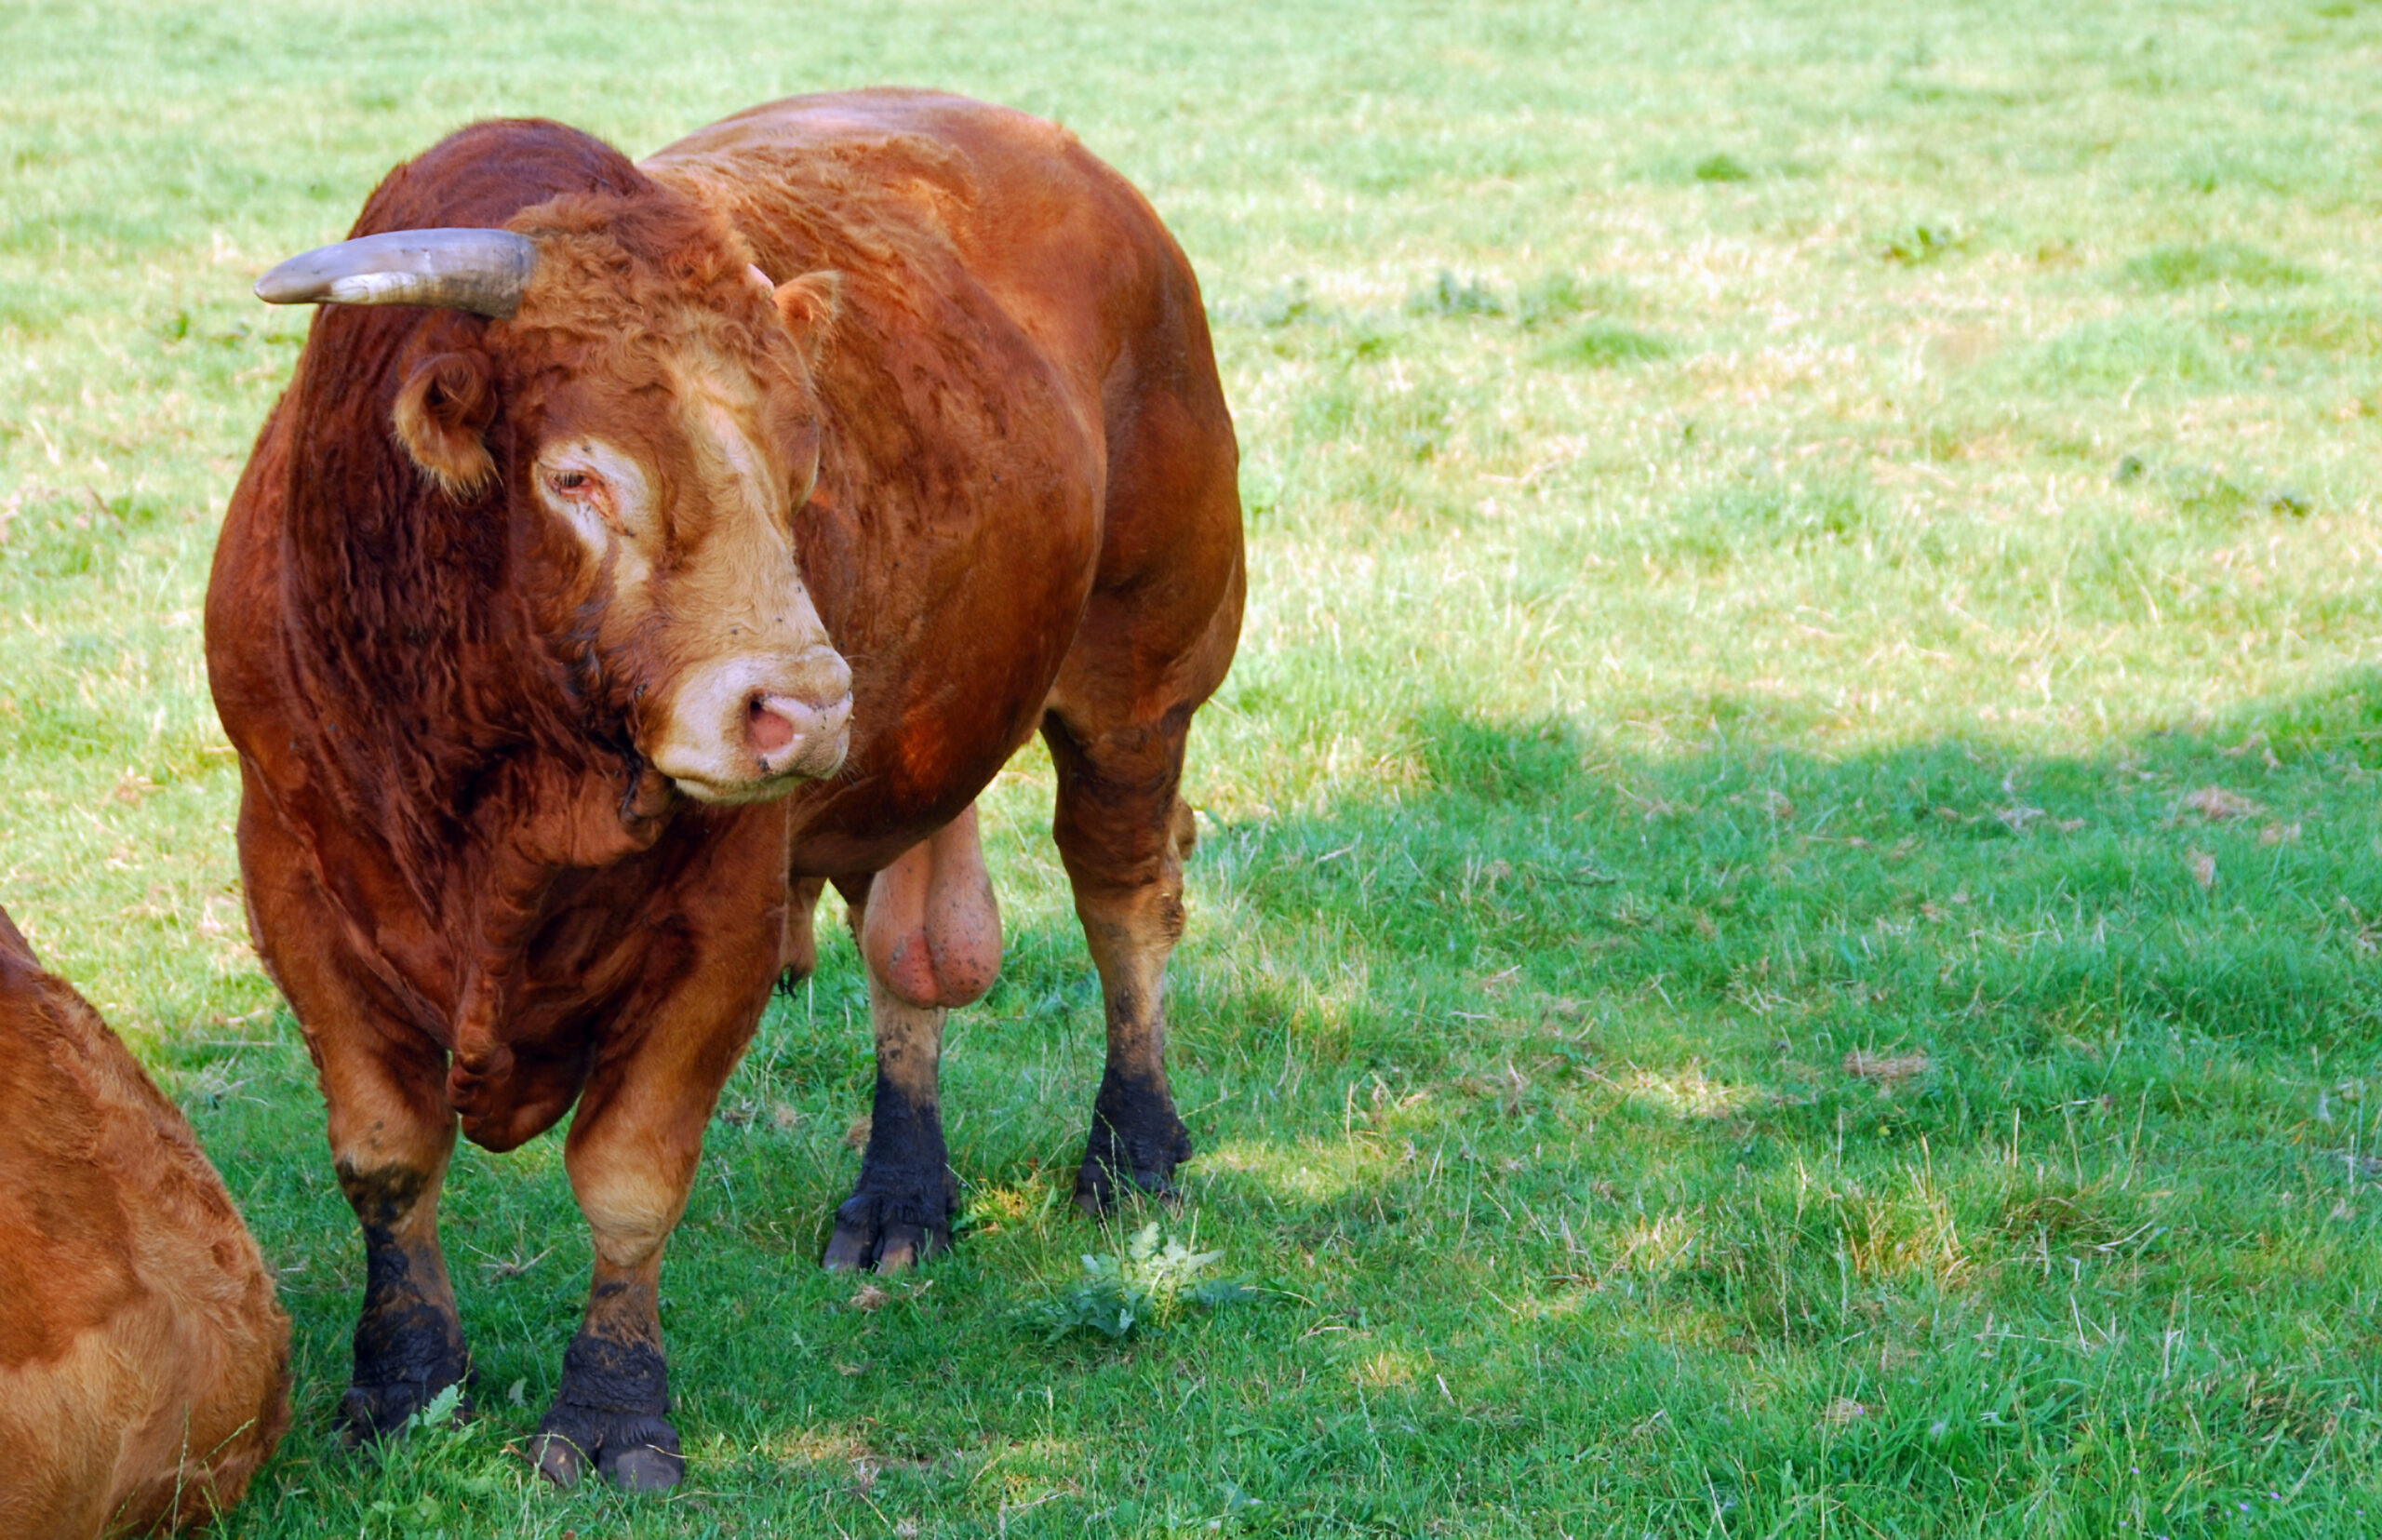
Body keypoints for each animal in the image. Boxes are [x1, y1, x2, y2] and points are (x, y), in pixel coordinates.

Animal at [209, 90, 1248, 1487]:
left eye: (805, 459)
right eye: (577, 472)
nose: (803, 705)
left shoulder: (723, 916)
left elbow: (629, 1174)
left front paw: (611, 1411)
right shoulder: (291, 869)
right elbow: (384, 1155)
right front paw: (402, 1381)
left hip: (1140, 677)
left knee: (1125, 900)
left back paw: (1134, 1150)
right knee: (908, 947)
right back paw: (901, 1193)